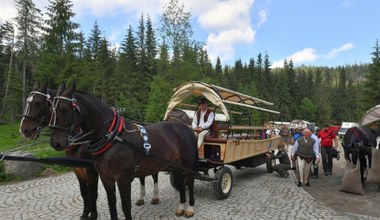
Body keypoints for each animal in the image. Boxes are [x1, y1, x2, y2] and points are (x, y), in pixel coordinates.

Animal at [48, 81, 199, 219]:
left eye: (64, 109)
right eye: (51, 109)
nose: (55, 143)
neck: (113, 138)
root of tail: (186, 127)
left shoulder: (123, 179)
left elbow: (126, 206)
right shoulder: (106, 178)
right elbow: (111, 203)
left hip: (187, 164)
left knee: (190, 182)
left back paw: (190, 208)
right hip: (175, 165)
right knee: (181, 183)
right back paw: (181, 207)